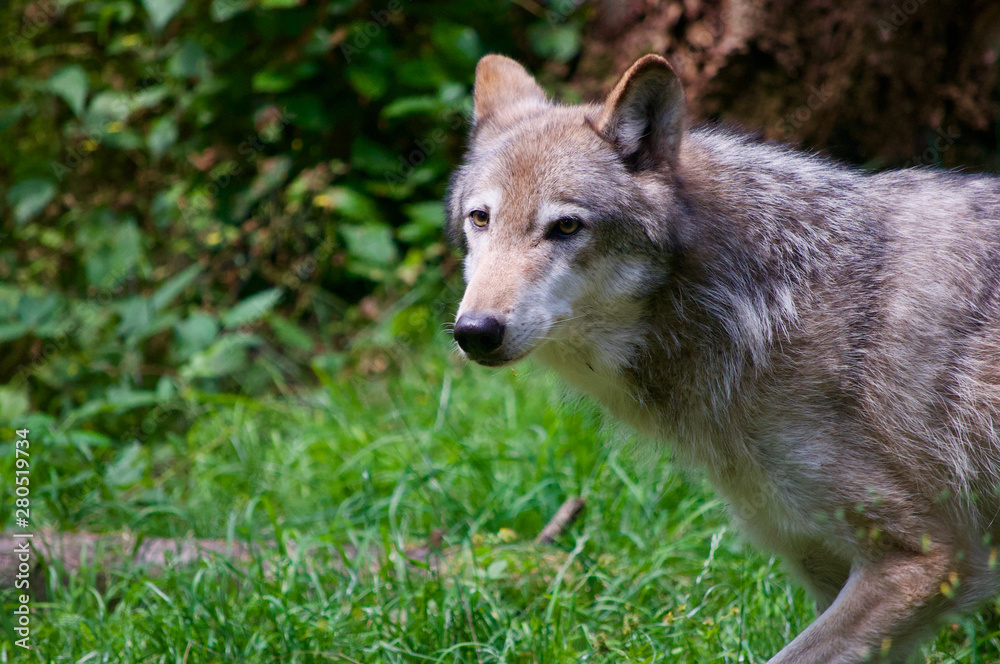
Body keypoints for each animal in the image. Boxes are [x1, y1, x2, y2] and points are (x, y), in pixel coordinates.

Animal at [450, 53, 1000, 664]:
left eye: (566, 226)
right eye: (480, 218)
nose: (474, 331)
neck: (758, 306)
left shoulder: (926, 557)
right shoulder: (825, 564)